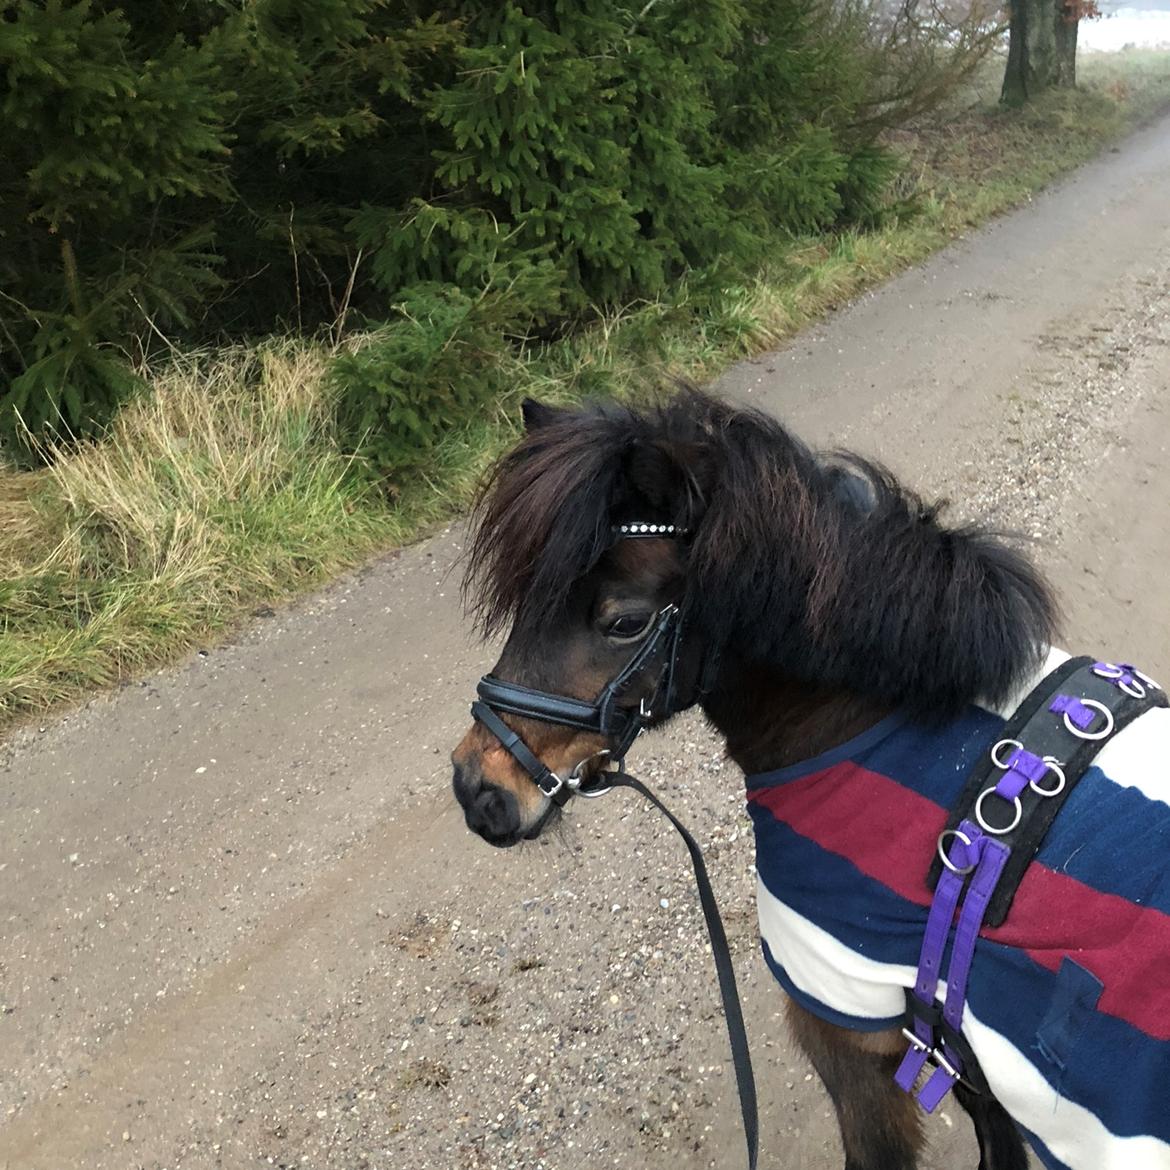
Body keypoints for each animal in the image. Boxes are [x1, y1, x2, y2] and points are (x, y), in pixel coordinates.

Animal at [446, 390, 1170, 1170]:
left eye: (625, 622)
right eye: (526, 604)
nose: (478, 790)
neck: (874, 724)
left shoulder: (852, 1038)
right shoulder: (962, 1056)